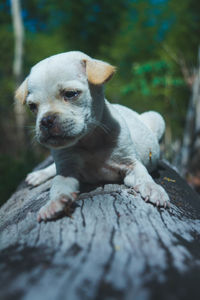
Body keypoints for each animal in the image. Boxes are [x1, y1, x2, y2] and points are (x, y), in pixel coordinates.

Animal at [14, 51, 170, 223]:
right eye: (32, 106)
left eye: (70, 94)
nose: (46, 120)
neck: (89, 138)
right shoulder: (67, 171)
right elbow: (58, 187)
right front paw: (55, 203)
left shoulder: (131, 164)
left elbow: (144, 177)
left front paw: (154, 189)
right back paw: (39, 175)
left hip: (157, 118)